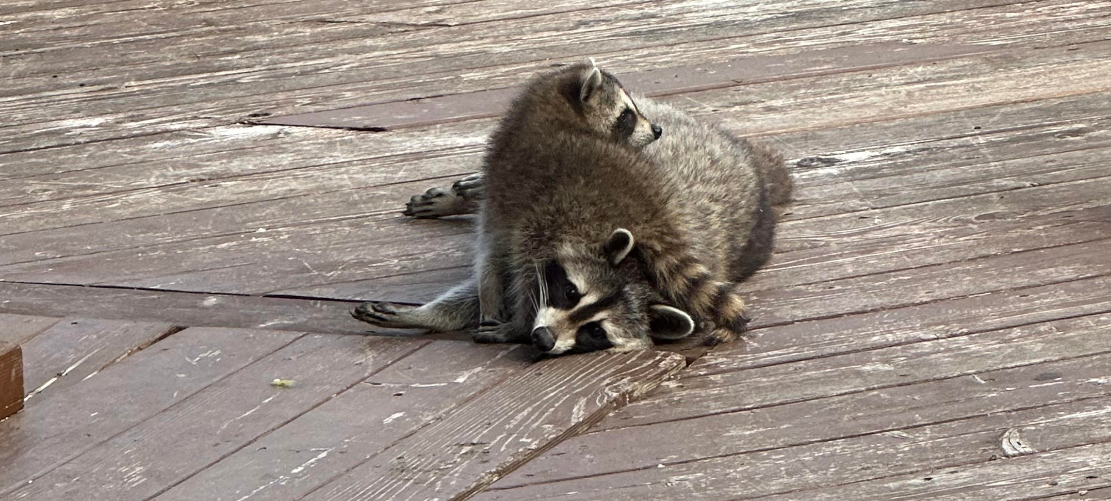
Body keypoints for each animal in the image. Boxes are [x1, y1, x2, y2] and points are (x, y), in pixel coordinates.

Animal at [355, 62, 792, 355]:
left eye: (595, 332)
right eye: (627, 115)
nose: (656, 130)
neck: (552, 117)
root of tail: (656, 209)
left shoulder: (511, 190)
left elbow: (494, 255)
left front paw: (496, 308)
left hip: (563, 212)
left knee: (525, 259)